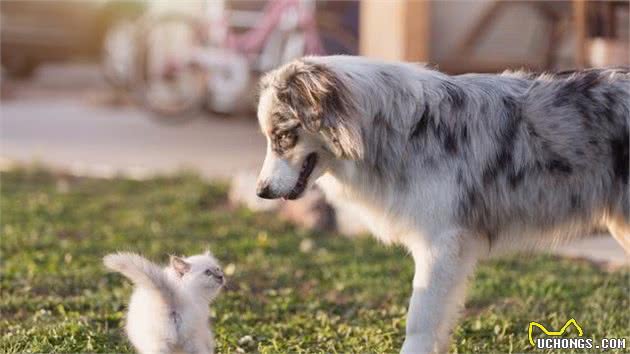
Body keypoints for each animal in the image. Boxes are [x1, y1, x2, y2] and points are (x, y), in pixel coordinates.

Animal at [254, 55, 628, 352]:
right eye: (269, 138)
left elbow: (420, 319)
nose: (261, 192)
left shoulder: (440, 243)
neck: (400, 132)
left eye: (283, 135)